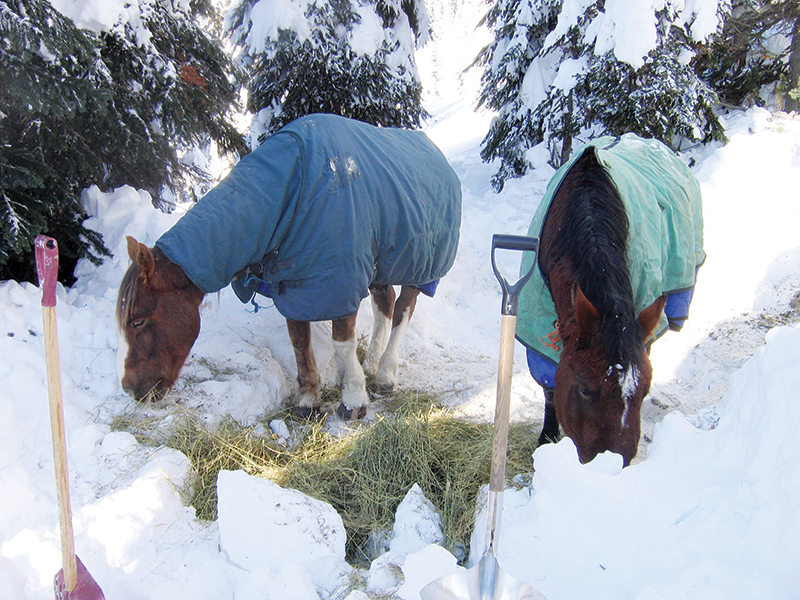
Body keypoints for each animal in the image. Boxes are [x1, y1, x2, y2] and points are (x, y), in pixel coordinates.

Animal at [116, 114, 462, 420]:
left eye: (138, 320)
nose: (130, 388)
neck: (293, 190)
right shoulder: (293, 285)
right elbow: (300, 343)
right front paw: (309, 401)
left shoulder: (340, 280)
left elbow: (341, 344)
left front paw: (353, 399)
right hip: (382, 263)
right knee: (385, 305)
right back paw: (371, 364)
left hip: (419, 262)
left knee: (403, 310)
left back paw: (385, 374)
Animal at [517, 134, 705, 465]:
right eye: (584, 388)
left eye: (644, 392)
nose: (611, 466)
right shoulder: (538, 331)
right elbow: (550, 389)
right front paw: (546, 439)